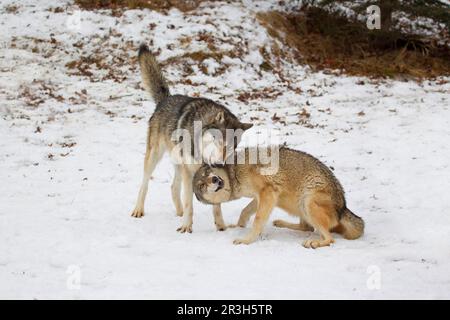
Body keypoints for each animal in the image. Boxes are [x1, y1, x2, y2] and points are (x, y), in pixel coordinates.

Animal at [131, 43, 253, 232]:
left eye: (232, 147)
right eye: (219, 141)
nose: (220, 164)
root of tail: (165, 99)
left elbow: (216, 205)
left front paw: (221, 227)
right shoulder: (190, 174)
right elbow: (190, 203)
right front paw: (186, 227)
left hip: (178, 164)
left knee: (173, 187)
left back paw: (179, 213)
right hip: (154, 158)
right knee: (144, 184)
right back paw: (139, 210)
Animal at [192, 146, 364, 249]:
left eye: (208, 173)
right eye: (201, 185)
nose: (215, 180)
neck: (234, 173)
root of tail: (343, 207)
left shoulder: (267, 192)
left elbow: (257, 220)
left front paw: (246, 240)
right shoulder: (262, 196)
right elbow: (245, 211)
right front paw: (238, 226)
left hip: (307, 201)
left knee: (329, 238)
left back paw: (314, 242)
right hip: (296, 204)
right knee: (307, 227)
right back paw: (280, 223)